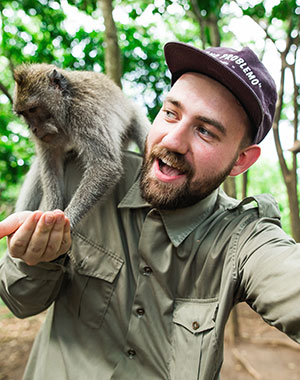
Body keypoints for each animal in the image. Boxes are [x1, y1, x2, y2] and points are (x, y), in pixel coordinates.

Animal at [13, 63, 150, 229]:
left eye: (32, 109)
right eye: (23, 113)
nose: (32, 129)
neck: (66, 105)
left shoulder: (84, 113)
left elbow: (105, 165)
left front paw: (67, 220)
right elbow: (51, 168)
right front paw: (52, 212)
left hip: (134, 116)